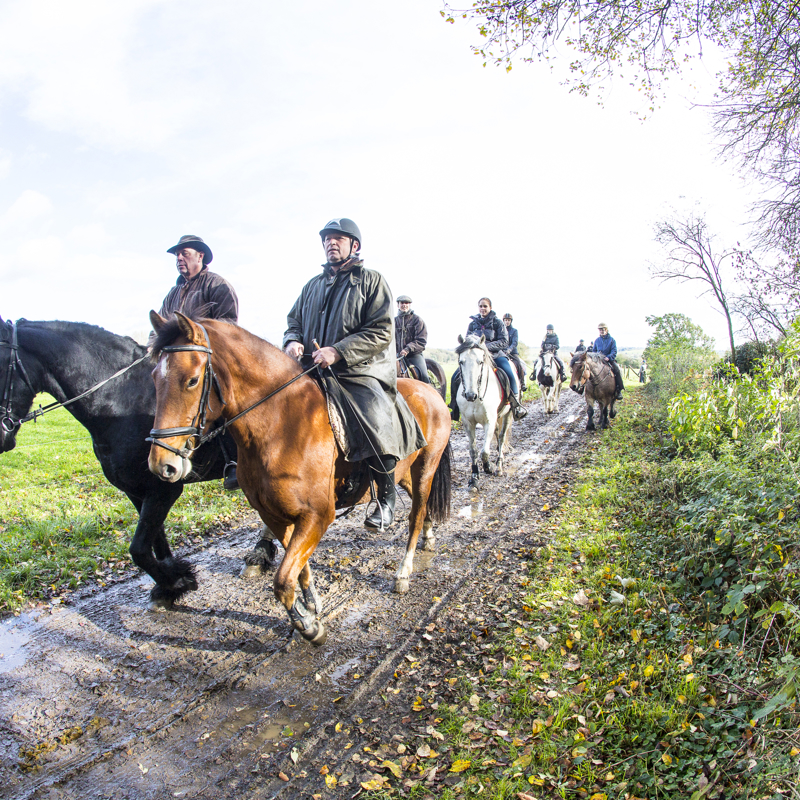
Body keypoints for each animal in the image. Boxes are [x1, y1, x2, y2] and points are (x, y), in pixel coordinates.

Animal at [0, 316, 276, 608]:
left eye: (0, 366)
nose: (2, 438)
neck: (120, 400)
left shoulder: (163, 488)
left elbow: (139, 549)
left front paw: (177, 581)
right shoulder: (136, 491)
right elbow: (156, 542)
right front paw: (170, 584)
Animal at [147, 310, 454, 648]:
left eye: (191, 380)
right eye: (155, 379)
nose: (162, 465)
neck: (279, 426)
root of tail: (431, 392)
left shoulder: (317, 516)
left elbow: (282, 580)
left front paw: (309, 627)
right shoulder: (276, 515)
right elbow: (298, 570)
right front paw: (311, 605)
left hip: (426, 468)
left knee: (415, 515)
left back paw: (403, 572)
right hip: (406, 474)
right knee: (420, 507)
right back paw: (428, 536)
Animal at [456, 334, 512, 490]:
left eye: (480, 362)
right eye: (461, 362)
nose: (470, 395)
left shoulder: (489, 422)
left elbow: (484, 452)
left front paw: (489, 467)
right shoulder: (468, 423)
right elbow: (473, 451)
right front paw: (474, 478)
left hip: (508, 414)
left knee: (501, 436)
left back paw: (499, 466)